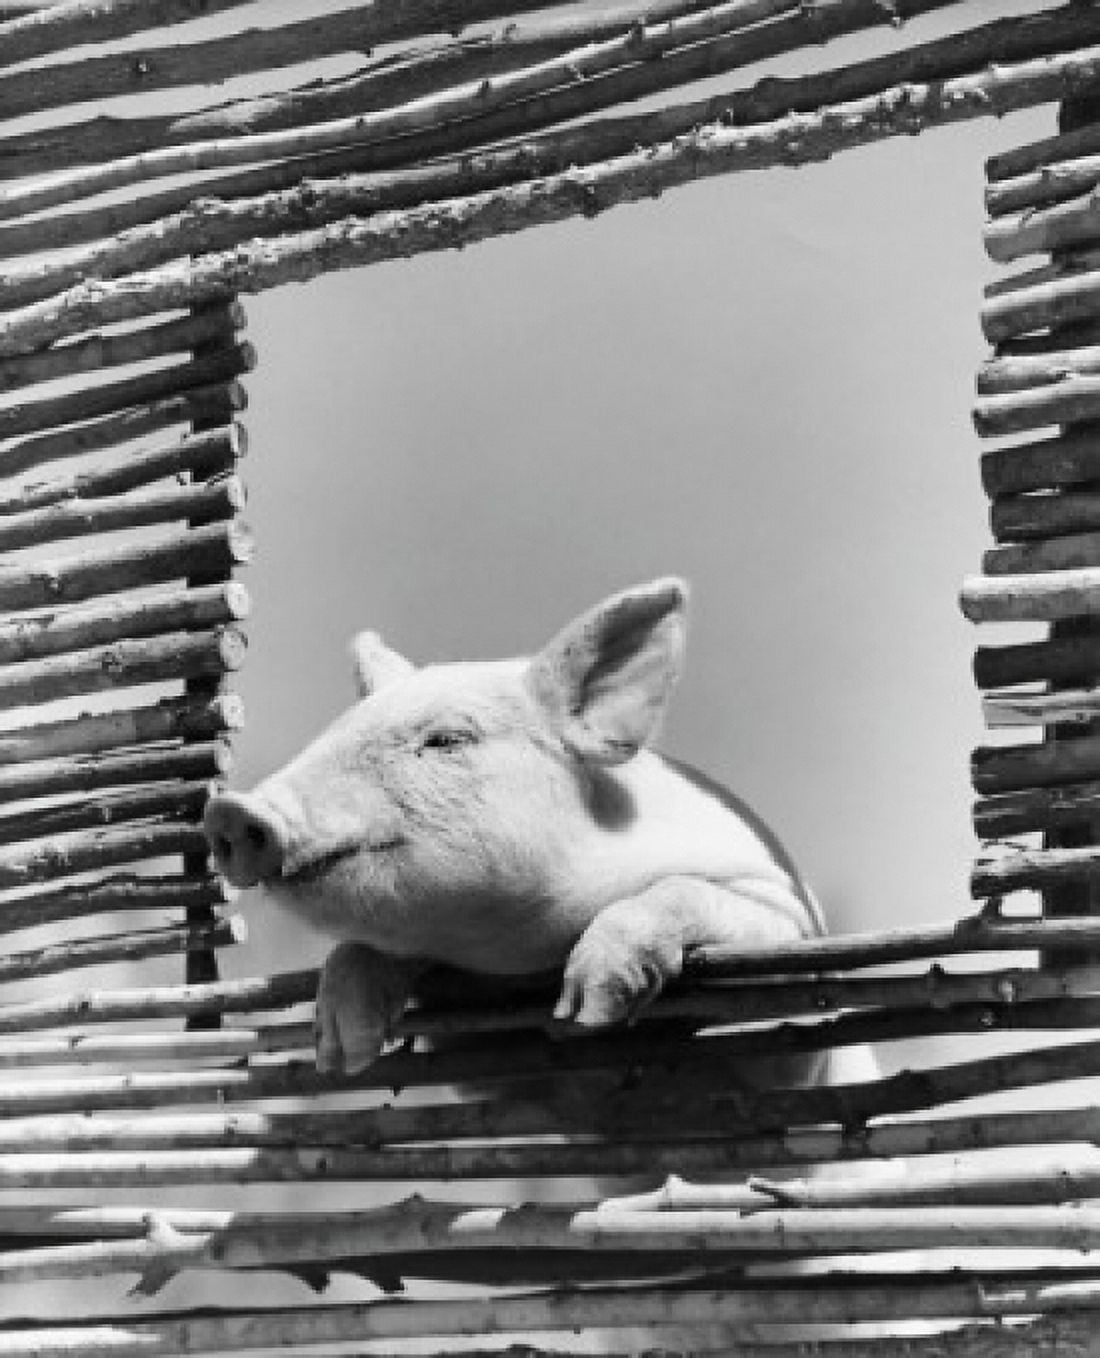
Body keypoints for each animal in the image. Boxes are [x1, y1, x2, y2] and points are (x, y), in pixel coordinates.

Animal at [204, 578, 825, 1075]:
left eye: (446, 739)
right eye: (332, 730)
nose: (230, 811)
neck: (517, 947)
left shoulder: (788, 918)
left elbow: (685, 892)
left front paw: (587, 1010)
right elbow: (358, 949)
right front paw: (340, 1055)